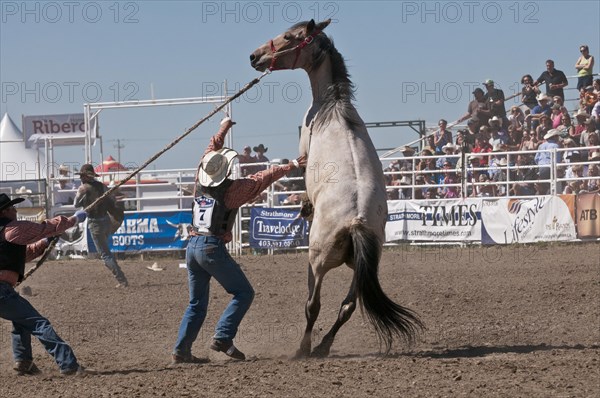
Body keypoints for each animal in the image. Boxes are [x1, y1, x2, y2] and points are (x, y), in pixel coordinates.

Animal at [248, 18, 422, 358]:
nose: (255, 56)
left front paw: (305, 205)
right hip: (362, 268)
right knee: (348, 306)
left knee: (312, 304)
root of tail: (356, 222)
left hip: (316, 261)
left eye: (288, 36)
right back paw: (323, 346)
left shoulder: (304, 150)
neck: (333, 105)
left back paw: (303, 349)